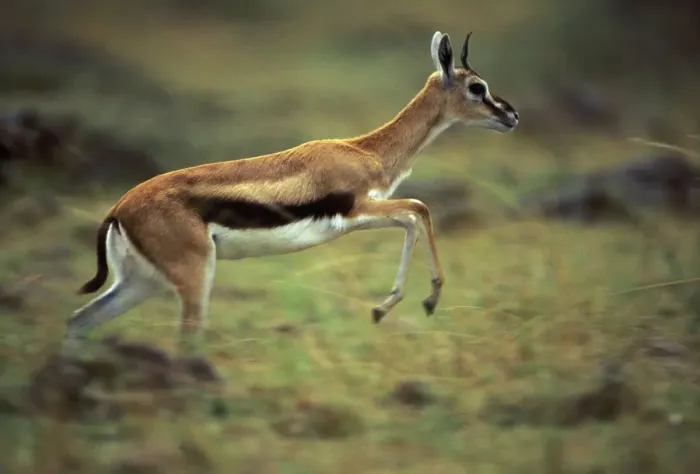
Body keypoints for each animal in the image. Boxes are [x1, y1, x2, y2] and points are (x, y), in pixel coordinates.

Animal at [64, 31, 518, 348]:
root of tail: (119, 208)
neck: (363, 150)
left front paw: (382, 308)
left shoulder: (361, 216)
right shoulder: (359, 210)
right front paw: (422, 301)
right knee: (186, 338)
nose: (511, 115)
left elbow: (411, 219)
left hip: (142, 282)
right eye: (477, 87)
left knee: (78, 321)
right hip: (193, 278)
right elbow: (419, 209)